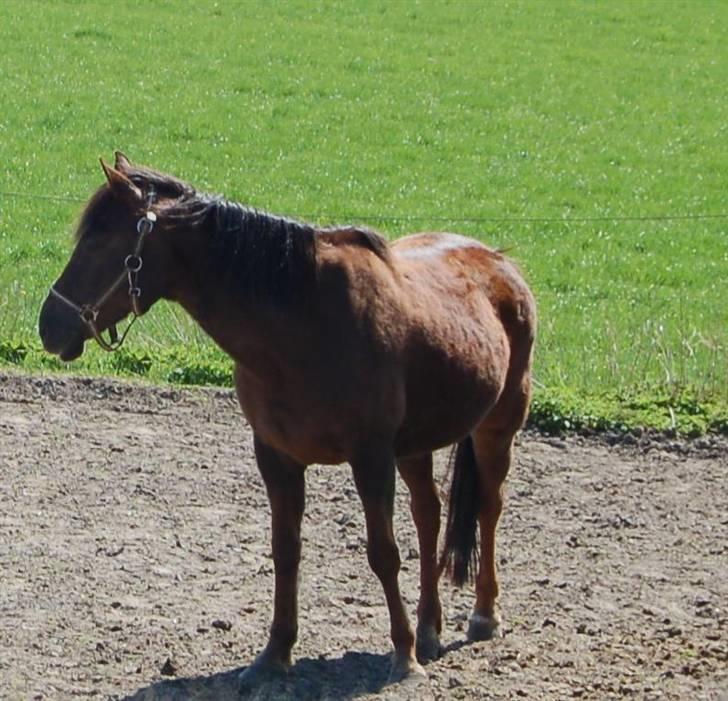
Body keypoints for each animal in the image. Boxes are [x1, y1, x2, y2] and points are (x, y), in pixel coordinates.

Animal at [38, 154, 536, 688]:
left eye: (99, 241)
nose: (49, 325)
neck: (302, 323)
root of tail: (499, 261)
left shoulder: (371, 458)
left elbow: (383, 553)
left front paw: (402, 656)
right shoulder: (276, 456)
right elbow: (285, 550)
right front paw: (276, 651)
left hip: (497, 427)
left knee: (488, 507)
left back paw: (481, 616)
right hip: (415, 446)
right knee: (429, 516)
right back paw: (428, 627)